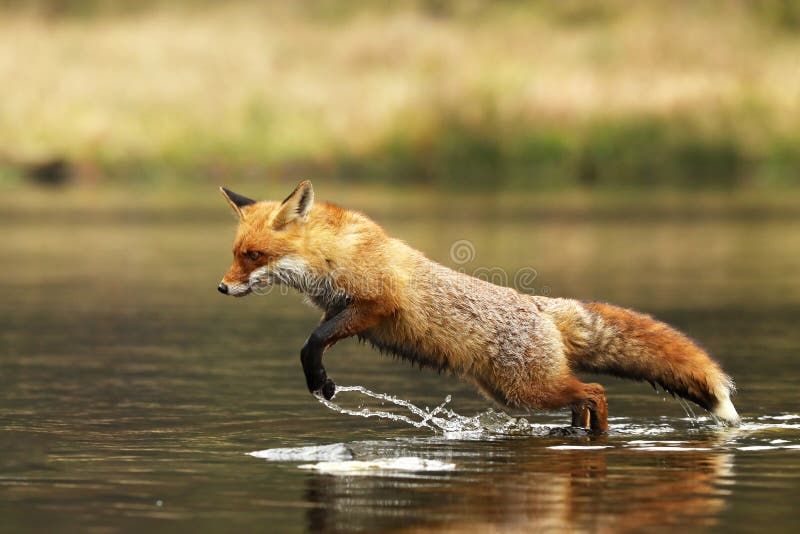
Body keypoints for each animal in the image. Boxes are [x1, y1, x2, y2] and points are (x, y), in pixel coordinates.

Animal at [217, 182, 736, 434]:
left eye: (254, 256)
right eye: (236, 253)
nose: (222, 288)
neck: (334, 256)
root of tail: (541, 307)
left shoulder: (374, 306)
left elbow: (313, 342)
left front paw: (320, 383)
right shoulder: (339, 311)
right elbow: (314, 343)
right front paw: (318, 380)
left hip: (528, 390)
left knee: (594, 392)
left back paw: (596, 438)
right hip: (514, 393)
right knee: (582, 397)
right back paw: (573, 434)